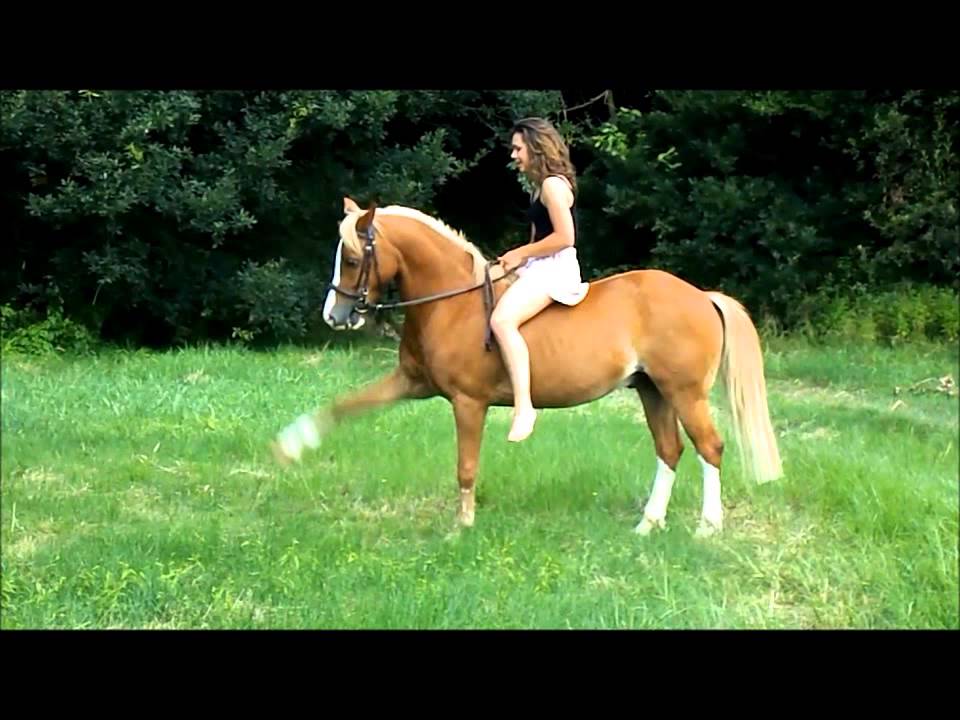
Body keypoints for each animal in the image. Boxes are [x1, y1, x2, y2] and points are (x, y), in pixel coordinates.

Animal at [272, 197, 783, 537]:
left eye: (352, 257)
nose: (334, 315)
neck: (450, 303)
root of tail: (701, 295)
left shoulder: (468, 402)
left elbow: (466, 466)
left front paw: (462, 527)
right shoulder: (410, 383)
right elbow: (344, 406)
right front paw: (291, 446)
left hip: (683, 392)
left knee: (709, 447)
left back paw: (707, 528)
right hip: (651, 390)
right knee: (670, 449)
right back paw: (646, 525)